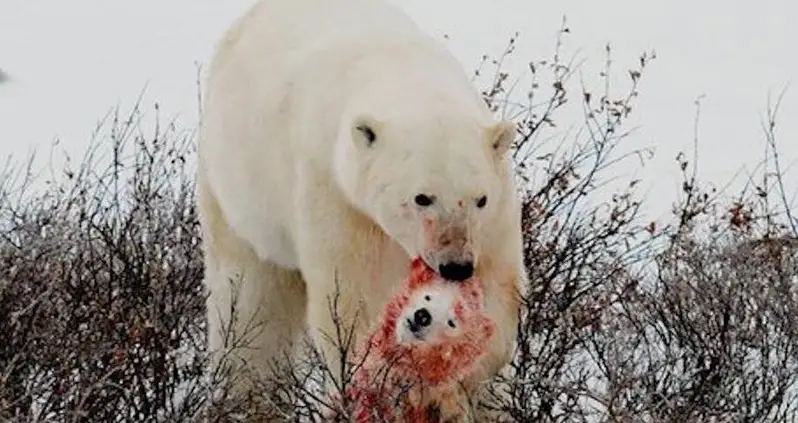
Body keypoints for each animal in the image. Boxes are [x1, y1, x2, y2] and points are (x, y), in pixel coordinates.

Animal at [197, 0, 528, 420]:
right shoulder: (340, 197)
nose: (456, 266)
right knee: (250, 304)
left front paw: (462, 382)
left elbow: (497, 292)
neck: (403, 70)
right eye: (422, 198)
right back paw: (247, 400)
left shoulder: (495, 220)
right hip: (238, 196)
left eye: (479, 199)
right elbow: (354, 301)